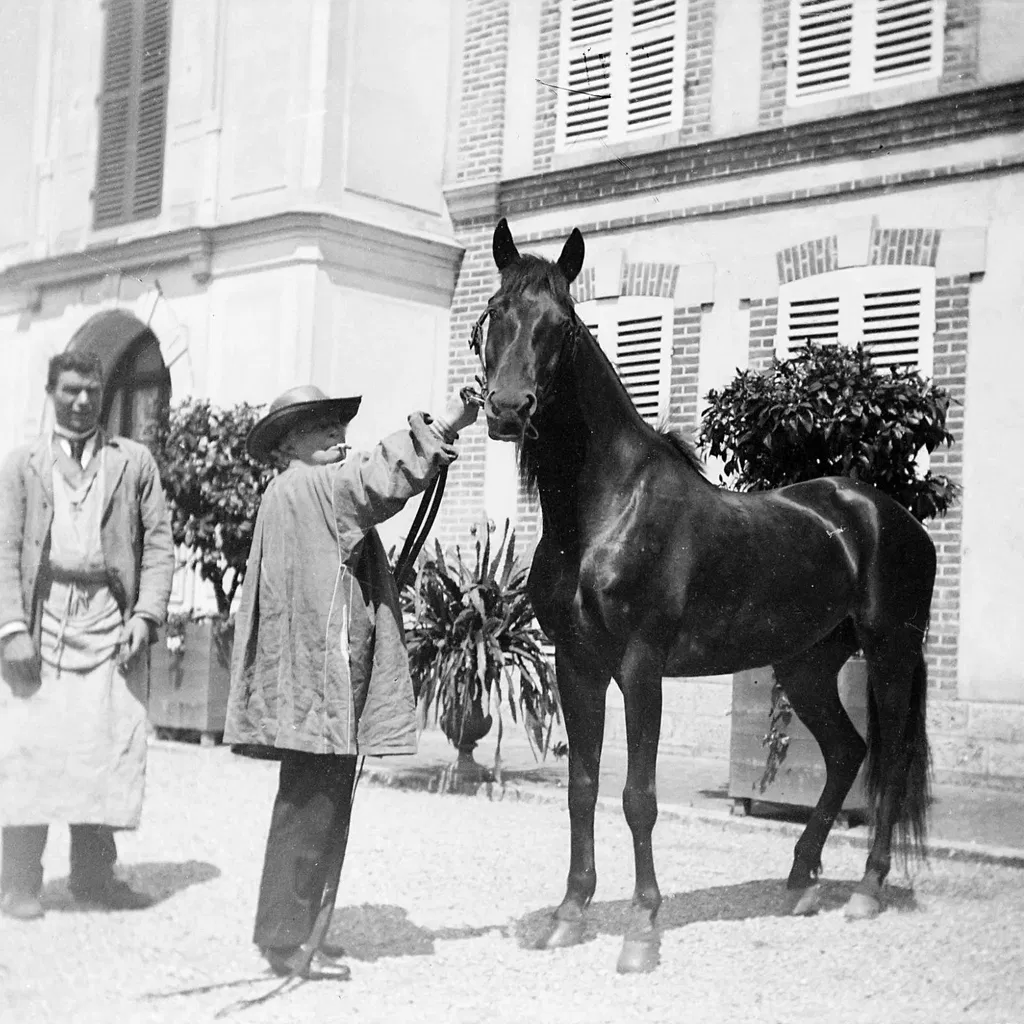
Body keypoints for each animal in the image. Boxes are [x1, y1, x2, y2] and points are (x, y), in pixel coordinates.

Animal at [472, 218, 935, 973]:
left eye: (562, 325)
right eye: (494, 315)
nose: (510, 411)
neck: (605, 511)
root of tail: (883, 513)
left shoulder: (640, 665)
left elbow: (638, 796)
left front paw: (640, 930)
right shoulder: (577, 665)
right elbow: (582, 788)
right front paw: (569, 916)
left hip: (890, 652)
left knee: (887, 761)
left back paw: (865, 891)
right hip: (804, 664)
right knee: (845, 752)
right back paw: (801, 881)